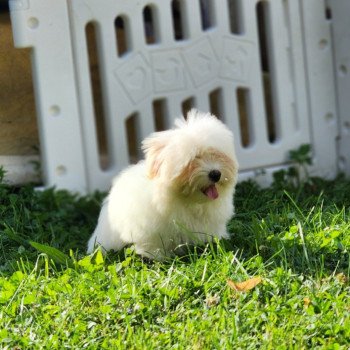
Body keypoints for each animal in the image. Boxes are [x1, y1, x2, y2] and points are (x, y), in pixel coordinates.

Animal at [87, 109, 239, 260]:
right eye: (193, 159)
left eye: (217, 154)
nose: (215, 174)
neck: (188, 201)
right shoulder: (150, 229)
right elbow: (154, 244)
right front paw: (157, 256)